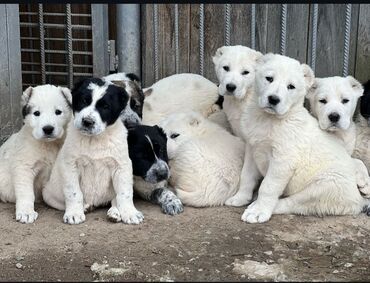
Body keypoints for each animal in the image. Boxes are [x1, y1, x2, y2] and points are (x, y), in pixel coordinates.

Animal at [0, 84, 72, 224]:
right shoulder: (24, 165)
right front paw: (26, 213)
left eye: (58, 112)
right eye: (36, 113)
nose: (48, 129)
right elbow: (25, 191)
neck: (48, 144)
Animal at [42, 76, 143, 225]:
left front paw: (130, 213)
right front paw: (74, 213)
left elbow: (124, 193)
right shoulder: (70, 165)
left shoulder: (122, 166)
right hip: (48, 194)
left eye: (105, 107)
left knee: (114, 199)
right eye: (84, 101)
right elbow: (73, 192)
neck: (95, 139)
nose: (87, 122)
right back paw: (85, 206)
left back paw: (114, 213)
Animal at [231, 54, 368, 224]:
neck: (269, 120)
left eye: (291, 87)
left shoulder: (283, 161)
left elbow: (268, 186)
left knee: (293, 202)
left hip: (323, 188)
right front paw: (239, 198)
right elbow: (246, 176)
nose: (273, 99)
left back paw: (257, 206)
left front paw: (258, 212)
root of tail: (357, 199)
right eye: (269, 78)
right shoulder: (252, 149)